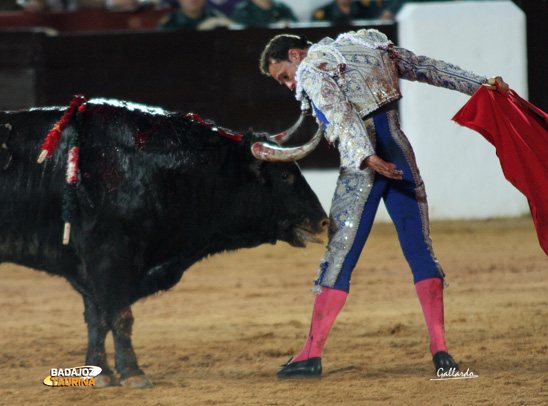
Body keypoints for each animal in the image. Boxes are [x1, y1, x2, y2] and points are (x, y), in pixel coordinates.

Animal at [0, 100, 328, 388]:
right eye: (284, 175)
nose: (325, 223)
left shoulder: (90, 268)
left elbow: (98, 319)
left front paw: (100, 372)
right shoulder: (107, 257)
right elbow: (120, 316)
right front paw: (133, 374)